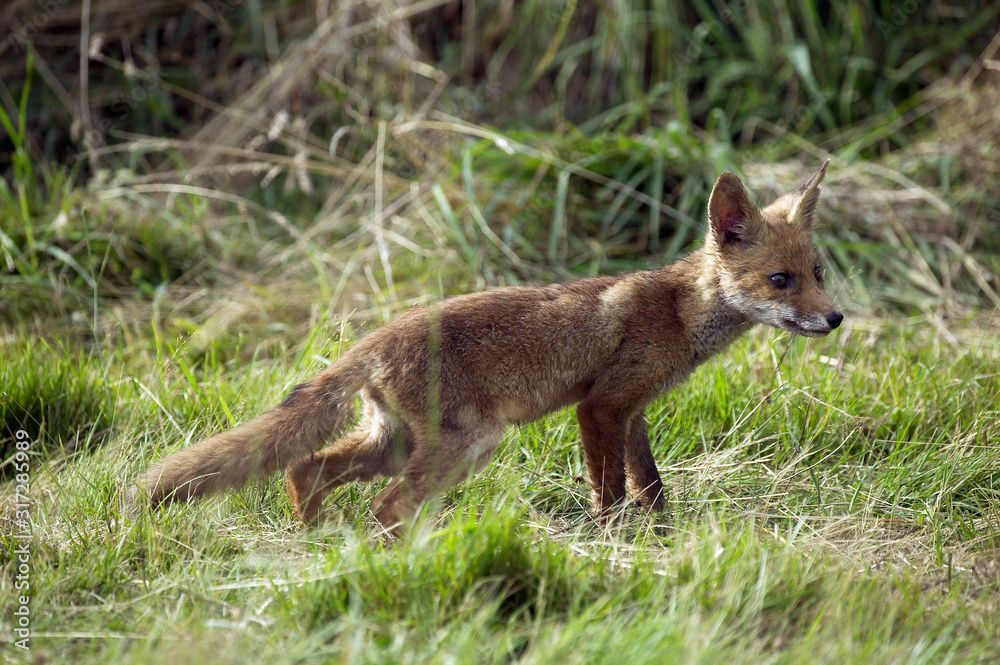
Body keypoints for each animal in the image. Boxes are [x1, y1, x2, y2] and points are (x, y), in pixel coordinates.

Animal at [127, 161, 844, 536]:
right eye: (781, 280)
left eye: (819, 272)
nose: (835, 318)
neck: (679, 313)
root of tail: (376, 337)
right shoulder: (601, 407)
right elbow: (610, 489)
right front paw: (612, 539)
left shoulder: (634, 411)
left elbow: (651, 484)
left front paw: (661, 535)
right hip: (466, 443)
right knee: (386, 505)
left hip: (394, 445)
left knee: (306, 468)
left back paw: (317, 539)